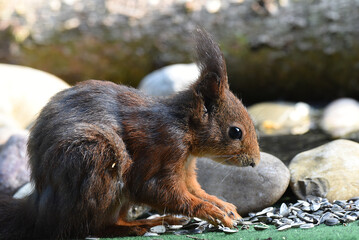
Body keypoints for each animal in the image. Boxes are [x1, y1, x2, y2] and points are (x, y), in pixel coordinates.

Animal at [0, 29, 260, 239]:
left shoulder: (186, 167)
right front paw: (212, 212)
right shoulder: (164, 148)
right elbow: (156, 189)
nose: (255, 162)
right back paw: (139, 226)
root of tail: (39, 213)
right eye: (235, 132)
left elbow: (195, 190)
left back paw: (157, 221)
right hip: (96, 160)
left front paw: (223, 205)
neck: (183, 126)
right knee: (89, 228)